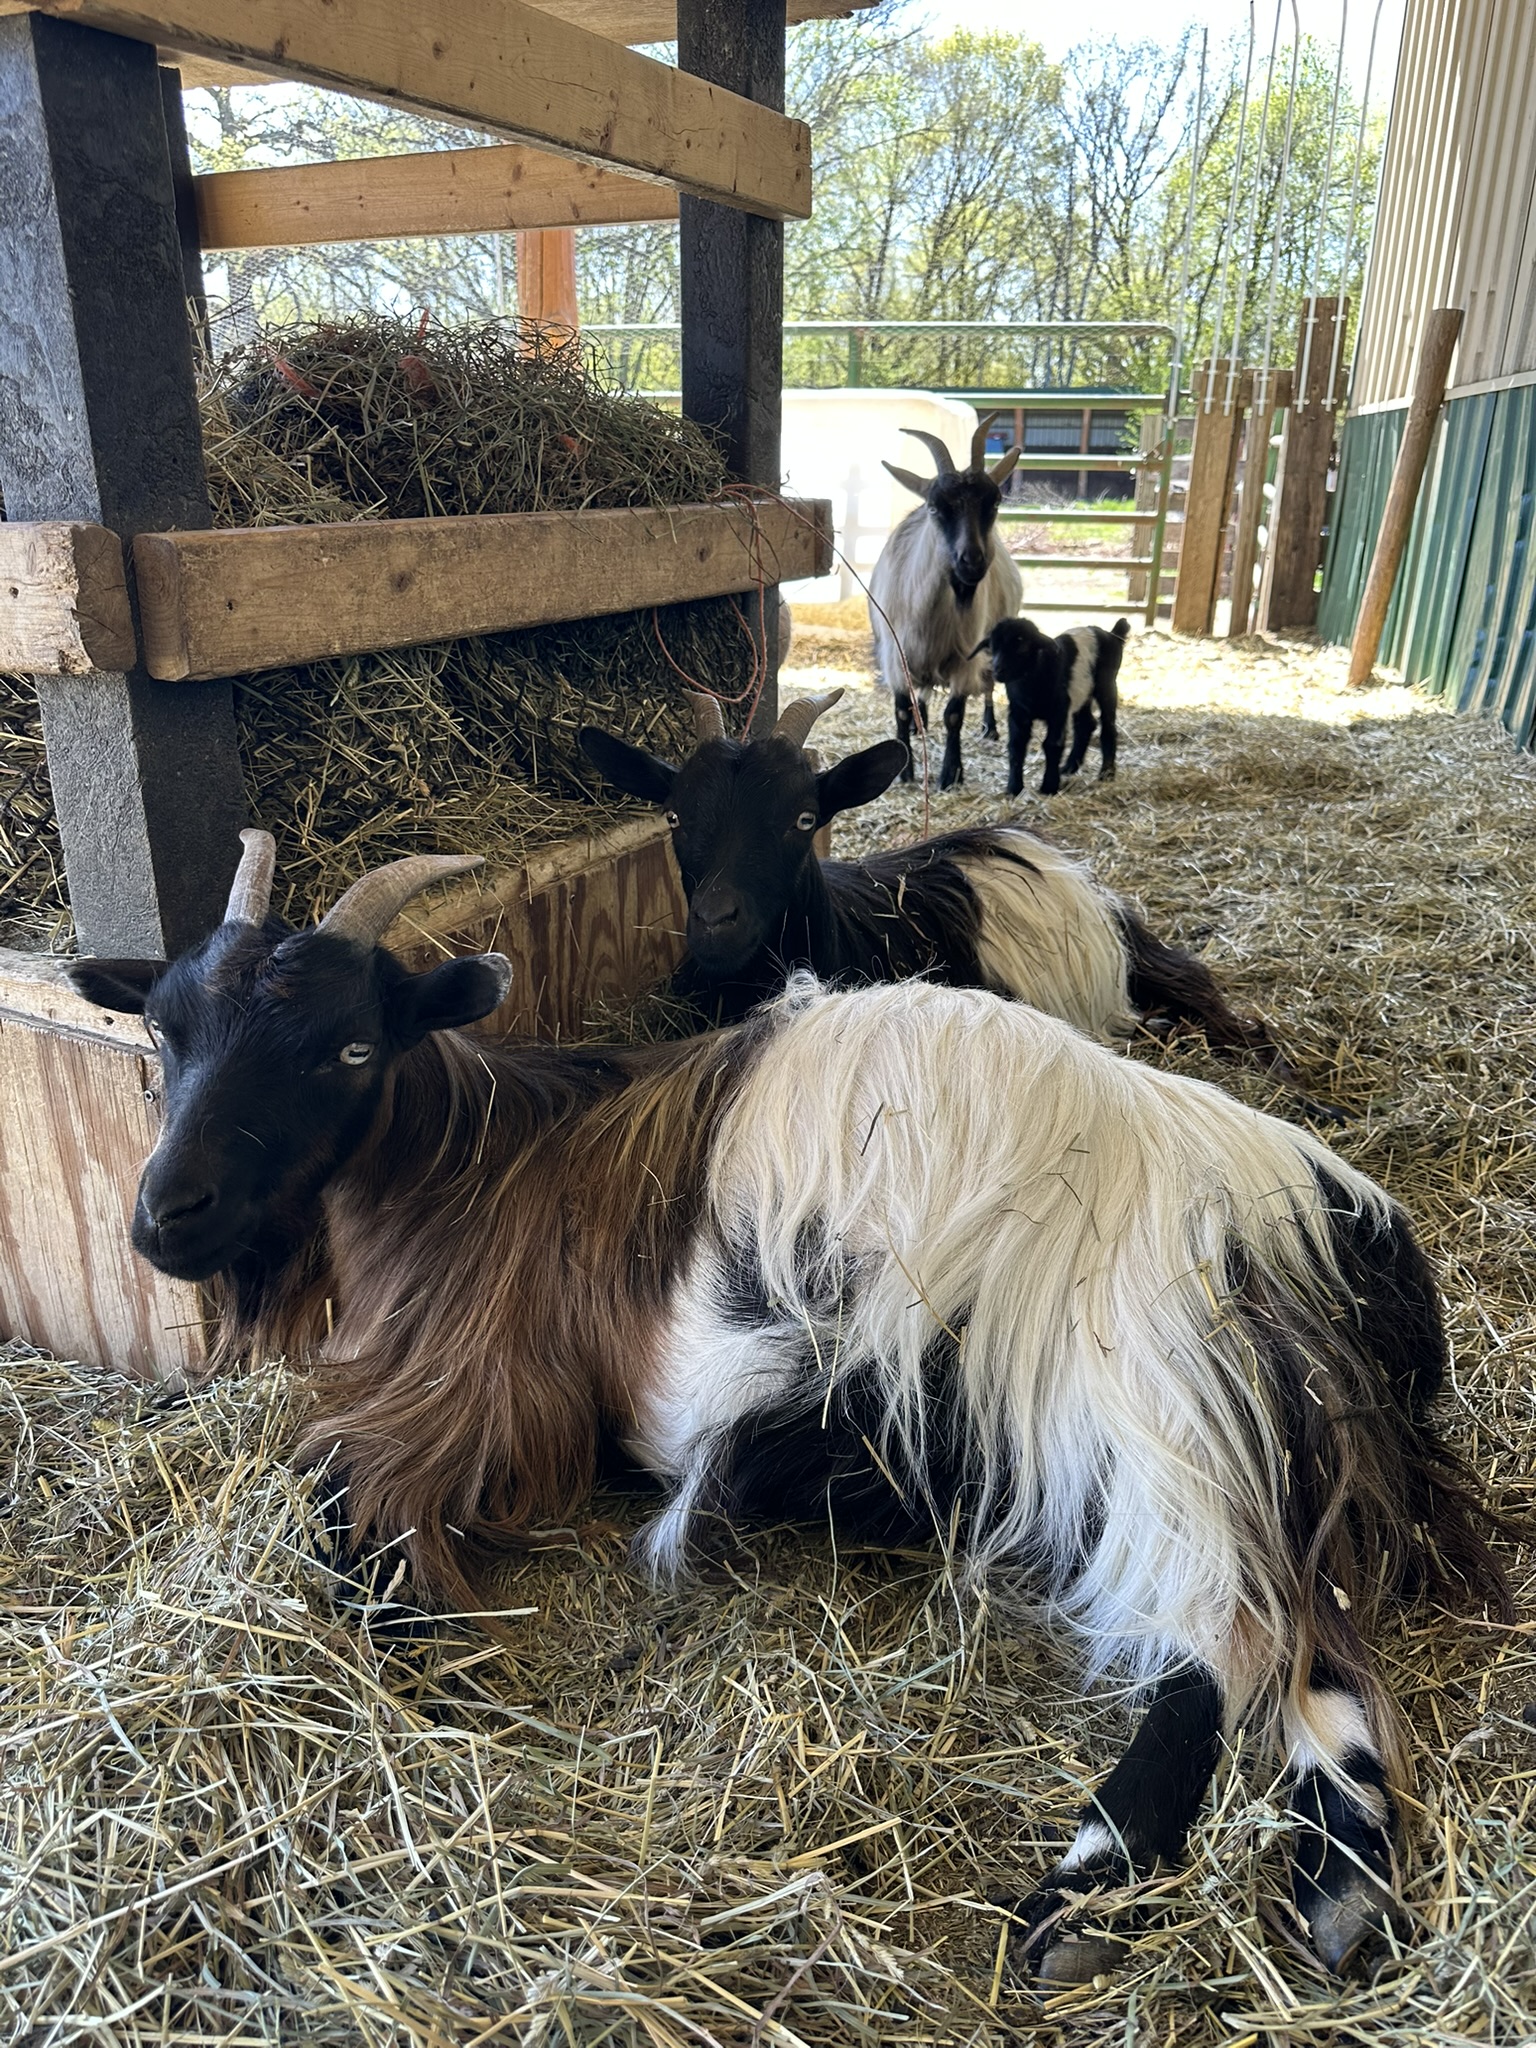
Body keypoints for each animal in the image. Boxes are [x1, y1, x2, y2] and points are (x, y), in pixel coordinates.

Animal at [73, 829, 1510, 1987]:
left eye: (350, 1044)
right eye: (167, 1036)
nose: (163, 1215)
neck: (472, 1170)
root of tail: (1318, 1219)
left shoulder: (475, 1396)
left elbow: (341, 1499)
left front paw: (413, 1636)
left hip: (1146, 1397)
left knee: (1228, 1635)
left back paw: (1086, 1891)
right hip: (1236, 1438)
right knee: (1319, 1651)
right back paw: (1337, 1887)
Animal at [581, 688, 1311, 1088]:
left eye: (805, 818)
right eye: (674, 817)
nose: (714, 921)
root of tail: (1036, 847)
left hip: (1128, 955)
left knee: (1199, 987)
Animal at [869, 413, 1021, 790]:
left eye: (994, 503)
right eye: (935, 507)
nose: (972, 562)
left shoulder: (965, 659)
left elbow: (954, 715)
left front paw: (951, 773)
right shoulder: (896, 658)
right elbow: (901, 710)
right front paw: (905, 769)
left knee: (988, 687)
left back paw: (989, 728)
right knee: (919, 701)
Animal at [973, 614, 1129, 796]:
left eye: (1023, 646)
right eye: (992, 647)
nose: (998, 670)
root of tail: (1113, 635)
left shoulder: (1059, 711)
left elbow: (1052, 744)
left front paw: (1049, 787)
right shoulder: (1018, 712)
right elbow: (1016, 745)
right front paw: (1014, 788)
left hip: (1107, 684)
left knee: (1108, 727)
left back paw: (1107, 773)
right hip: (1082, 693)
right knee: (1086, 724)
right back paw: (1069, 767)